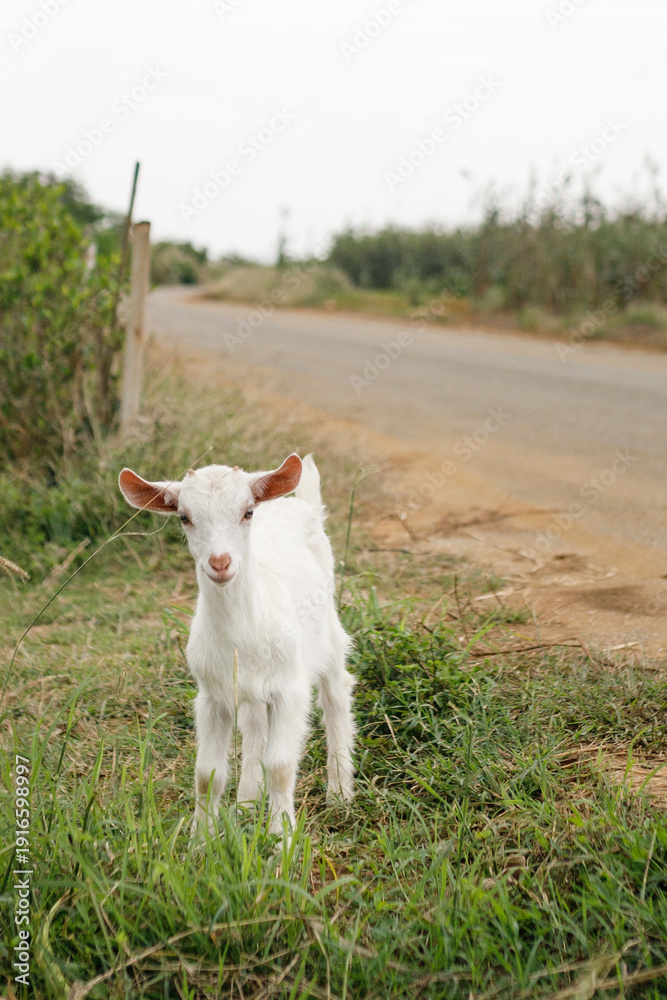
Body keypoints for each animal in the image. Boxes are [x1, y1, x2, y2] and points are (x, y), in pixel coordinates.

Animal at [118, 453, 355, 837]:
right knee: (255, 728)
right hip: (248, 689)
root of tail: (302, 504)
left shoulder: (290, 689)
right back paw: (247, 804)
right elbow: (207, 775)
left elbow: (280, 767)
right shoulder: (213, 696)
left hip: (329, 639)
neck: (242, 631)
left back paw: (340, 794)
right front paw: (200, 840)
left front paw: (281, 839)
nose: (220, 562)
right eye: (184, 517)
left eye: (247, 512)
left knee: (336, 695)